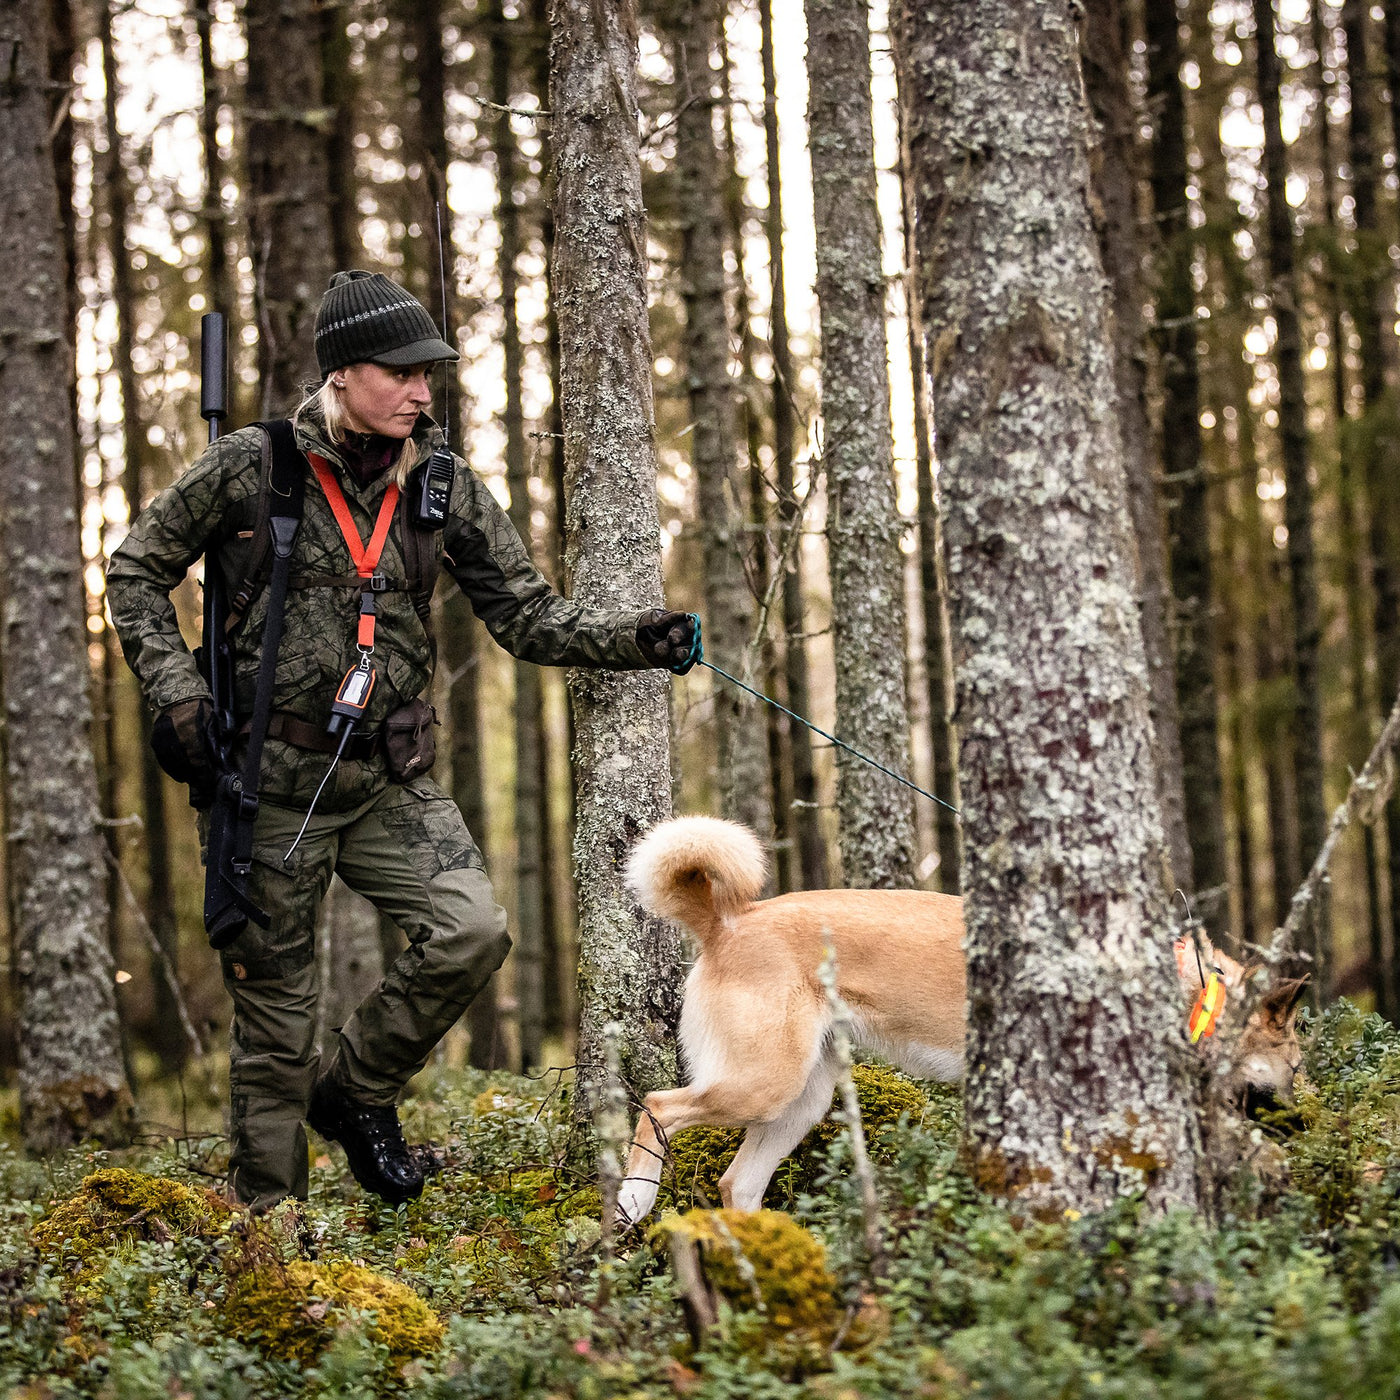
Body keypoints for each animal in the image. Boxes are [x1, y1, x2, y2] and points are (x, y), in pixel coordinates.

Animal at [616, 817, 1310, 1220]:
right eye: (1297, 1064)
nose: (1308, 1121)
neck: (1190, 990)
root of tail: (726, 923)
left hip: (799, 1103)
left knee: (737, 1184)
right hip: (763, 1083)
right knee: (658, 1107)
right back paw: (633, 1202)